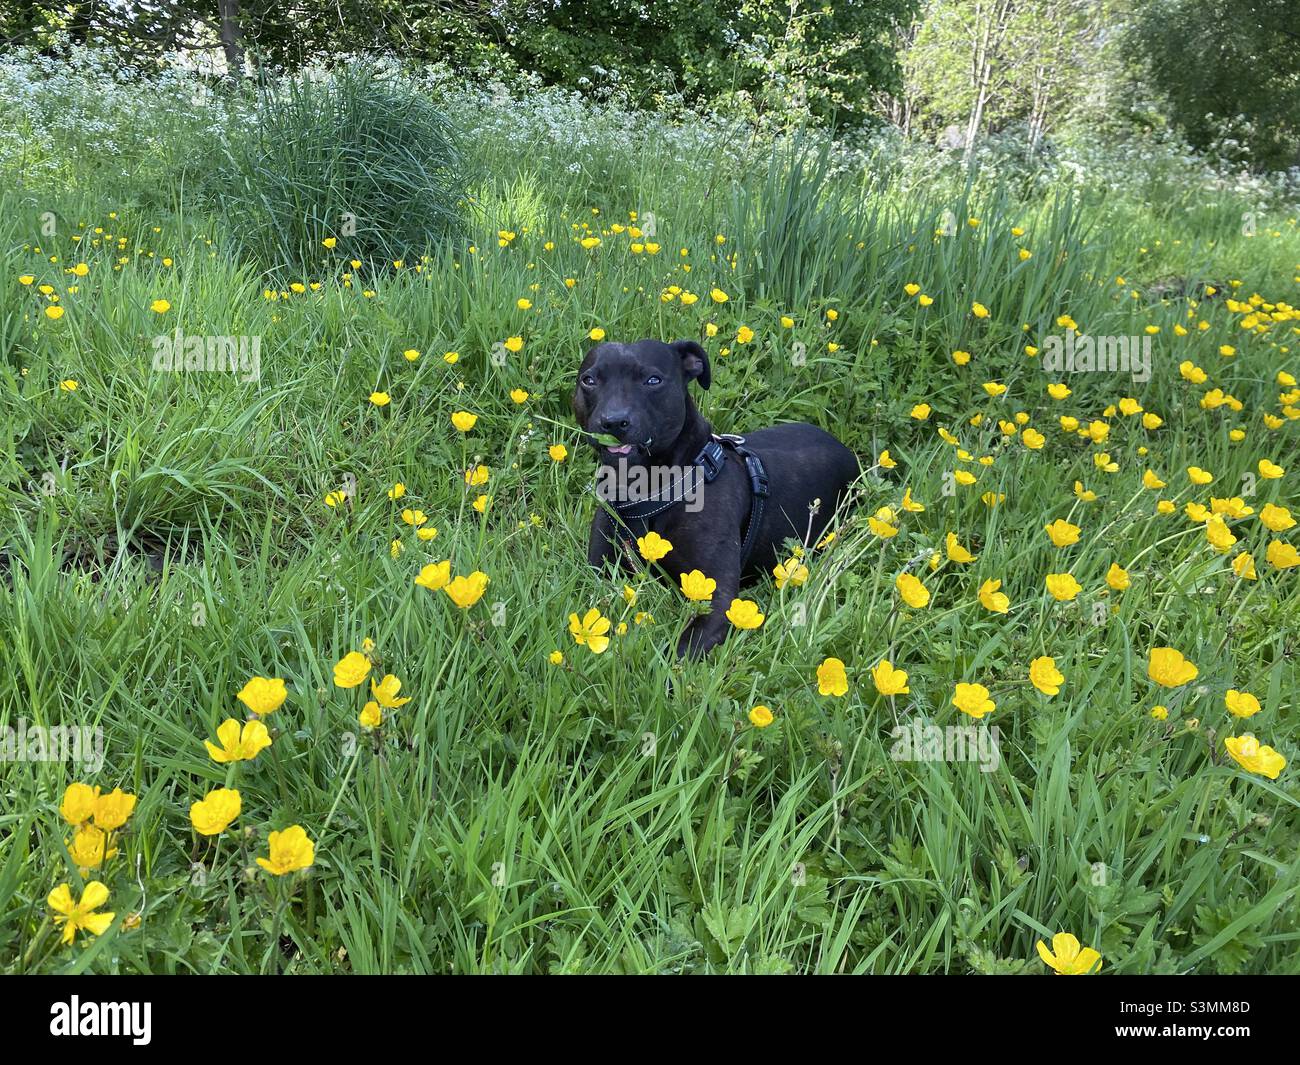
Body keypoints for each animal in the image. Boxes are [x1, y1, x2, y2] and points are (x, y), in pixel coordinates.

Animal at [572, 340, 857, 657]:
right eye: (589, 380)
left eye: (653, 380)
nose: (613, 421)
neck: (650, 490)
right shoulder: (599, 573)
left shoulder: (719, 600)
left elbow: (678, 653)